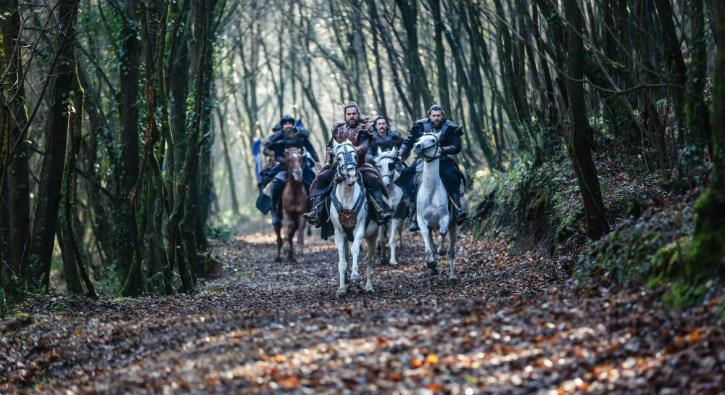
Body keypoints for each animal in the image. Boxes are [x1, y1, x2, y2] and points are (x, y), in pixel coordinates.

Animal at [330, 141, 378, 296]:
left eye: (355, 156)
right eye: (338, 158)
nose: (351, 175)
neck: (347, 197)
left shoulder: (359, 229)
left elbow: (355, 250)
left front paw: (355, 276)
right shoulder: (339, 233)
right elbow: (342, 262)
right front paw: (341, 289)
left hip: (373, 236)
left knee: (369, 260)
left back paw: (369, 287)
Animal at [410, 135, 456, 284]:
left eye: (432, 140)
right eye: (419, 138)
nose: (417, 146)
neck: (431, 190)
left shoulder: (445, 218)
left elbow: (442, 232)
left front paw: (441, 250)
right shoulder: (422, 221)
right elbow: (426, 238)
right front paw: (430, 261)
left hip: (454, 225)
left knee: (452, 251)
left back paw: (452, 276)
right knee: (432, 244)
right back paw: (433, 266)